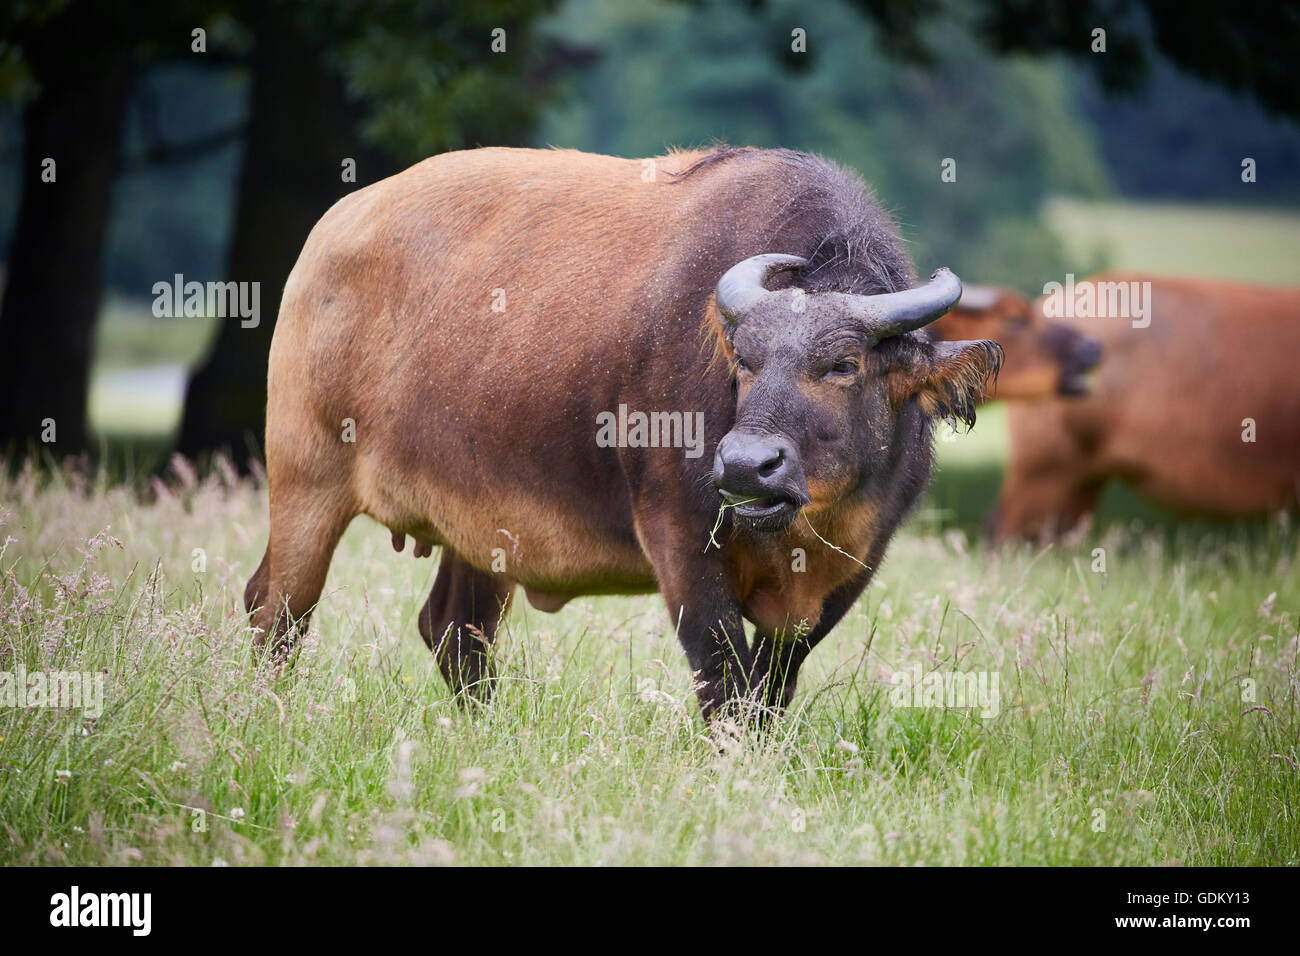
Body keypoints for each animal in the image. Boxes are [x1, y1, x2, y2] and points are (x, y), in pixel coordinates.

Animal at [244, 145, 998, 723]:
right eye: (743, 361)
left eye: (843, 364)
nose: (747, 467)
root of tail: (329, 236)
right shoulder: (680, 538)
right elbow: (724, 678)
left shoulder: (852, 570)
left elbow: (770, 688)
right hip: (305, 479)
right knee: (276, 609)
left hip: (476, 522)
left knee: (456, 630)